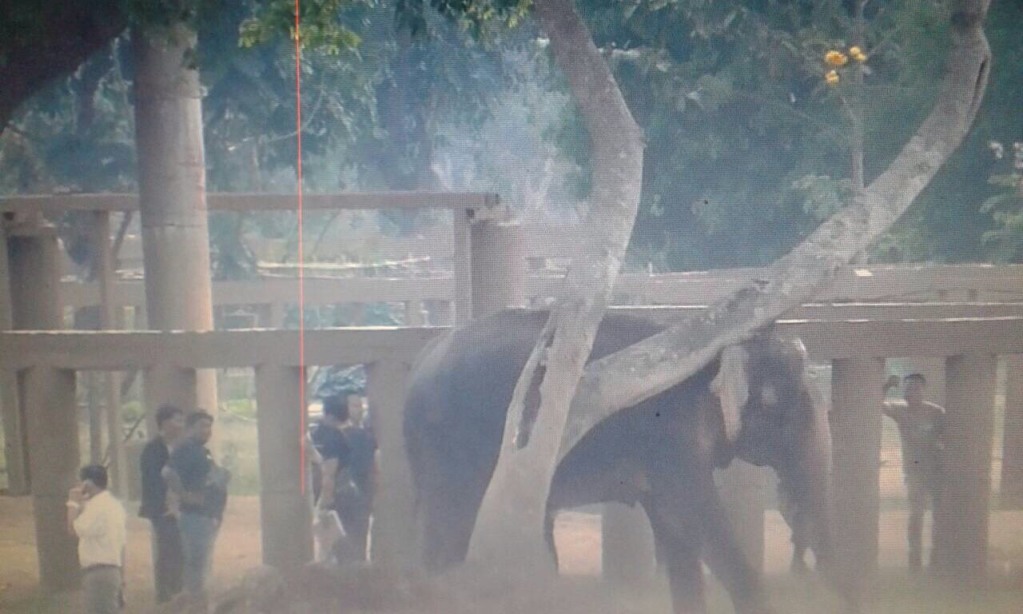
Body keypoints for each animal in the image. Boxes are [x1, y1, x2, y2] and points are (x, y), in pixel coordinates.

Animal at [401, 309, 838, 609]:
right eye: (778, 406)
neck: (716, 352)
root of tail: (419, 365)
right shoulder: (670, 439)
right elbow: (695, 513)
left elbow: (676, 533)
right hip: (451, 449)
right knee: (448, 534)